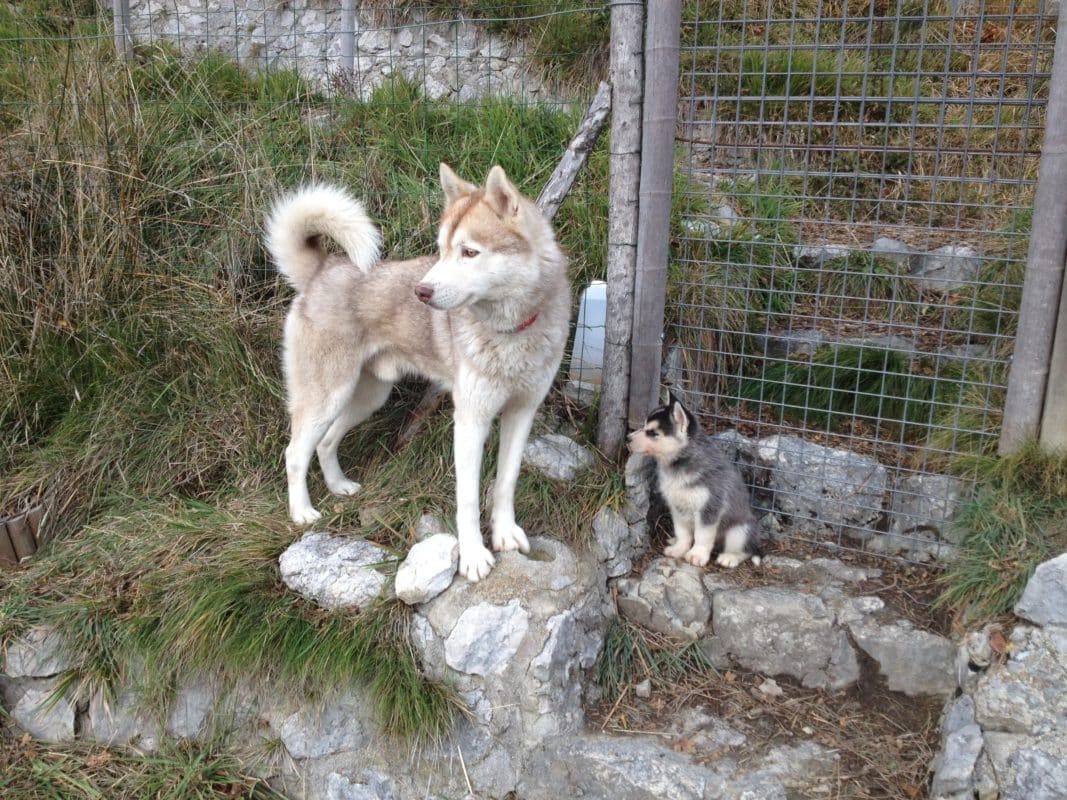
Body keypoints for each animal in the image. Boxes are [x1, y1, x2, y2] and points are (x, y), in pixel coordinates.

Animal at [263, 166, 571, 584]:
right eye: (441, 249)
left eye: (469, 252)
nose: (420, 291)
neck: (512, 332)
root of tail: (324, 268)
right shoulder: (470, 420)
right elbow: (468, 498)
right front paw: (473, 557)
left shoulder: (521, 412)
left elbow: (505, 482)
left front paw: (505, 534)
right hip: (327, 396)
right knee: (295, 452)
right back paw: (302, 513)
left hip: (367, 398)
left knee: (325, 443)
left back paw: (339, 486)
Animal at [627, 394, 763, 571]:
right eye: (644, 426)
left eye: (652, 433)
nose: (627, 438)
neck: (680, 463)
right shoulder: (677, 506)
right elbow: (683, 532)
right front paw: (679, 548)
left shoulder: (709, 508)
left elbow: (702, 536)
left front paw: (697, 555)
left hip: (740, 530)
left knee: (745, 549)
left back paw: (730, 557)